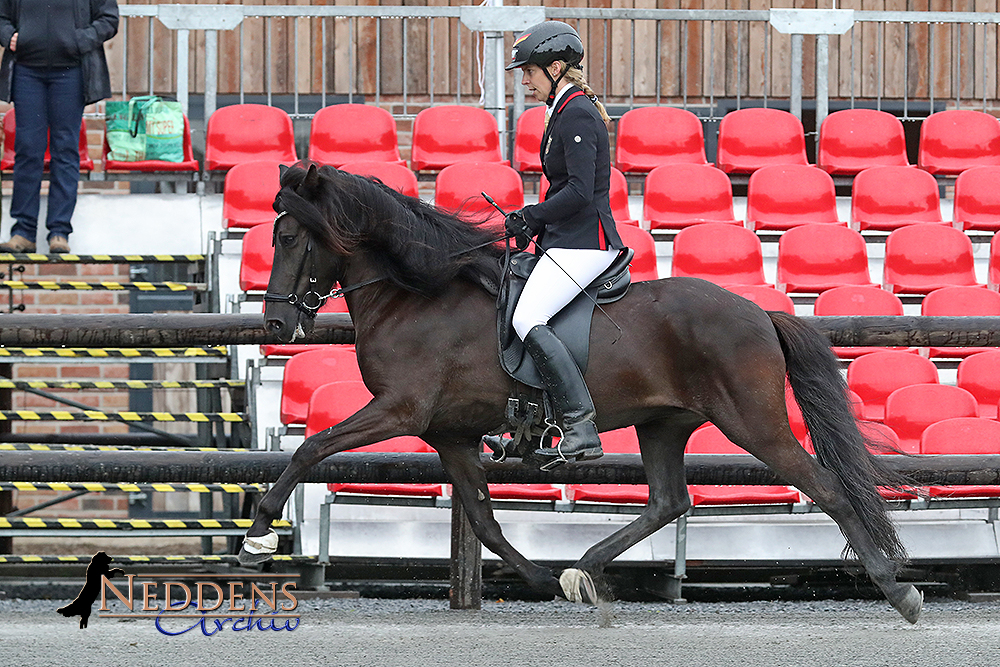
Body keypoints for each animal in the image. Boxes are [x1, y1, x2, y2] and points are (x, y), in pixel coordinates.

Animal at [240, 164, 920, 624]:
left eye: (288, 238)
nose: (274, 323)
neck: (417, 295)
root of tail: (760, 311)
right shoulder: (450, 434)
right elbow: (484, 519)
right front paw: (540, 579)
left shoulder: (400, 410)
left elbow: (312, 449)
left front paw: (259, 535)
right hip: (663, 422)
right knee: (669, 501)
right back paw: (583, 570)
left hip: (753, 422)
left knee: (825, 486)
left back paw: (898, 589)